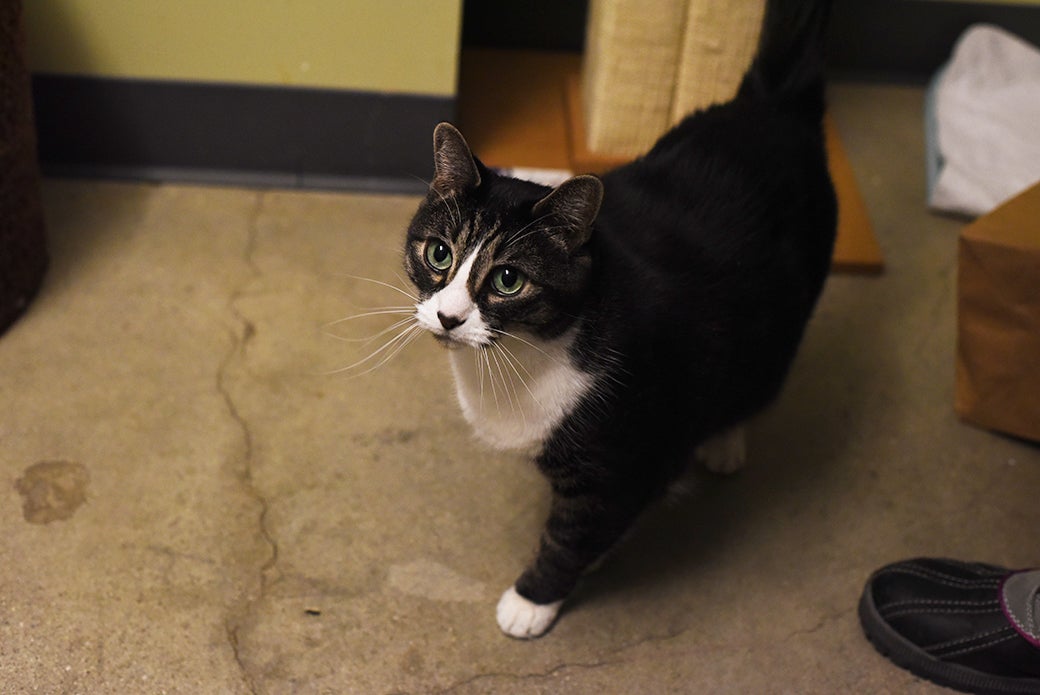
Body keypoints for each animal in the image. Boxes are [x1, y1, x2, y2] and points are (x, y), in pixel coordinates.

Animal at [401, 0, 836, 638]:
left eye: (508, 281)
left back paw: (725, 442)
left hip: (786, 311)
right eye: (438, 254)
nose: (450, 317)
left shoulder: (624, 455)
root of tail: (772, 103)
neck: (529, 353)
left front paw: (532, 601)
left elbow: (572, 534)